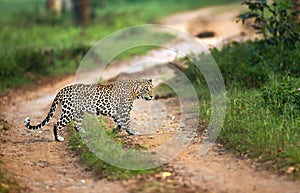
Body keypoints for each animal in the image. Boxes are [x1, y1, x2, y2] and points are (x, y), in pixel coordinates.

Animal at [24, 79, 154, 142]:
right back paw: (58, 138)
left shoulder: (117, 111)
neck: (134, 91)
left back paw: (86, 133)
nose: (152, 96)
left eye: (152, 89)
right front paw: (132, 132)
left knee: (76, 125)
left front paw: (115, 131)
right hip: (69, 112)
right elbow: (126, 122)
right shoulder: (124, 110)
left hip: (78, 112)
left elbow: (120, 123)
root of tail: (63, 89)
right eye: (147, 89)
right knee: (57, 123)